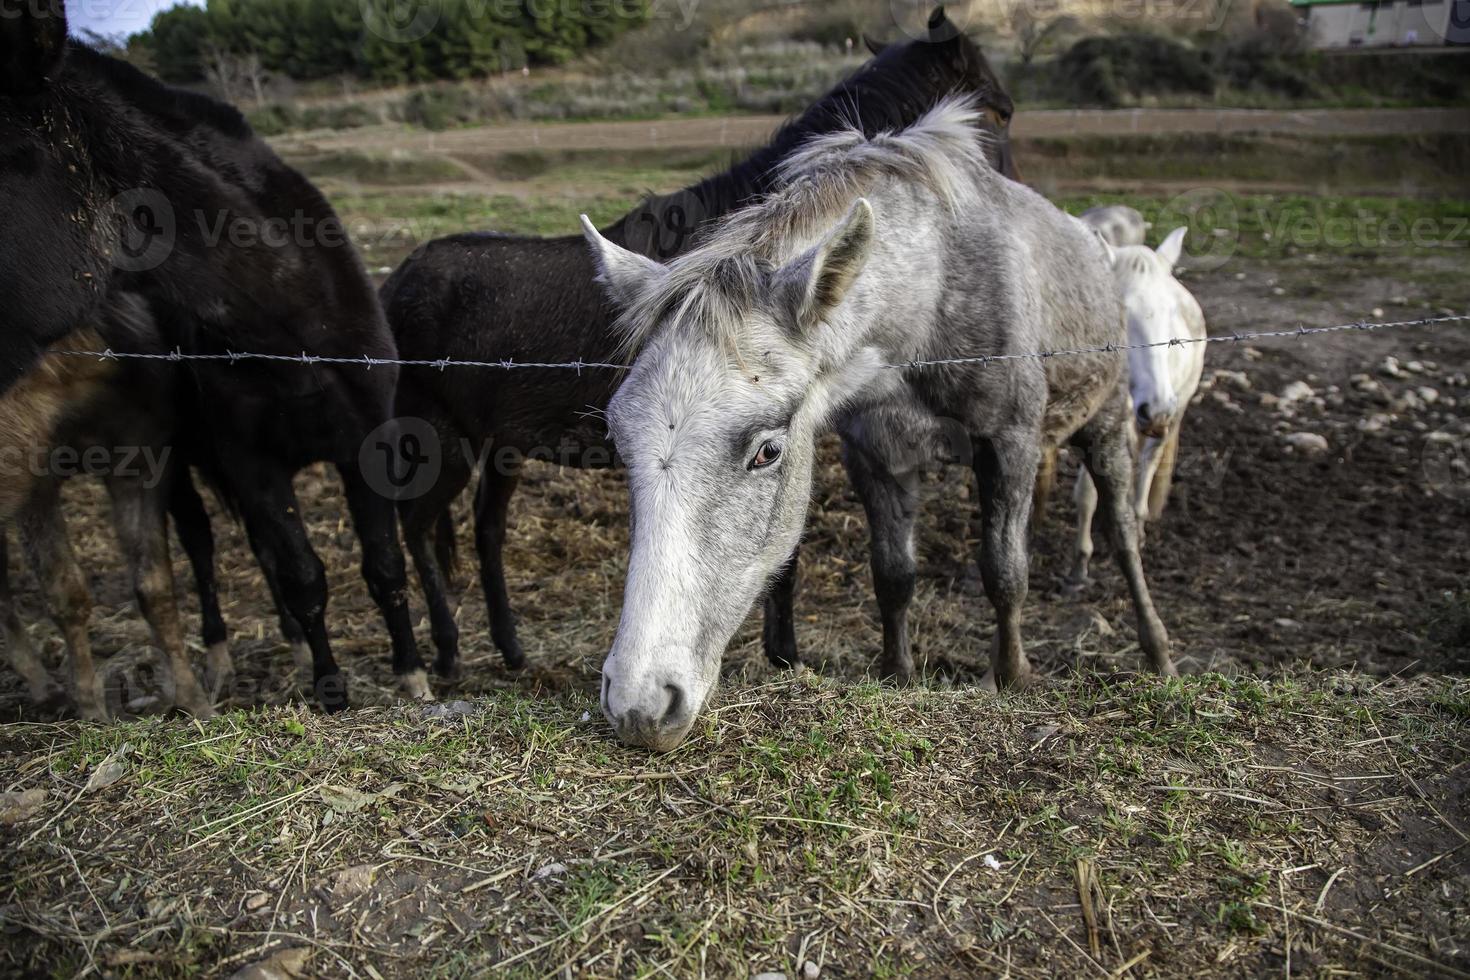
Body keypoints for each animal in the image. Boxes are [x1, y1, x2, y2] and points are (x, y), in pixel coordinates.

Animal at [4, 0, 429, 708]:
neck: (289, 332)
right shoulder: (251, 464)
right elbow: (306, 575)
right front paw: (331, 689)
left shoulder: (362, 443)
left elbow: (384, 568)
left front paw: (413, 676)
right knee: (203, 550)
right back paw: (221, 662)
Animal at [379, 7, 1023, 681]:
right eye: (1001, 111)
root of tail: (396, 279)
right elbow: (778, 553)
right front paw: (784, 655)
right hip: (441, 441)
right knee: (417, 528)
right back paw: (443, 654)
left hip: (500, 447)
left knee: (485, 532)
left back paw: (509, 650)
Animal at [582, 97, 1170, 752]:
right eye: (619, 440)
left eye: (768, 451)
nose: (640, 703)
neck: (927, 302)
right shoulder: (876, 454)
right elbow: (893, 574)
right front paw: (898, 673)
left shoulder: (1009, 441)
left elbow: (1005, 572)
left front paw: (1014, 677)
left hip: (1106, 421)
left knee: (1121, 530)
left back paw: (1157, 652)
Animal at [1070, 226, 1205, 587]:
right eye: (1122, 311)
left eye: (1171, 312)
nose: (1156, 408)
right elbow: (1086, 494)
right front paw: (1080, 563)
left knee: (1148, 464)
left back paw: (1140, 522)